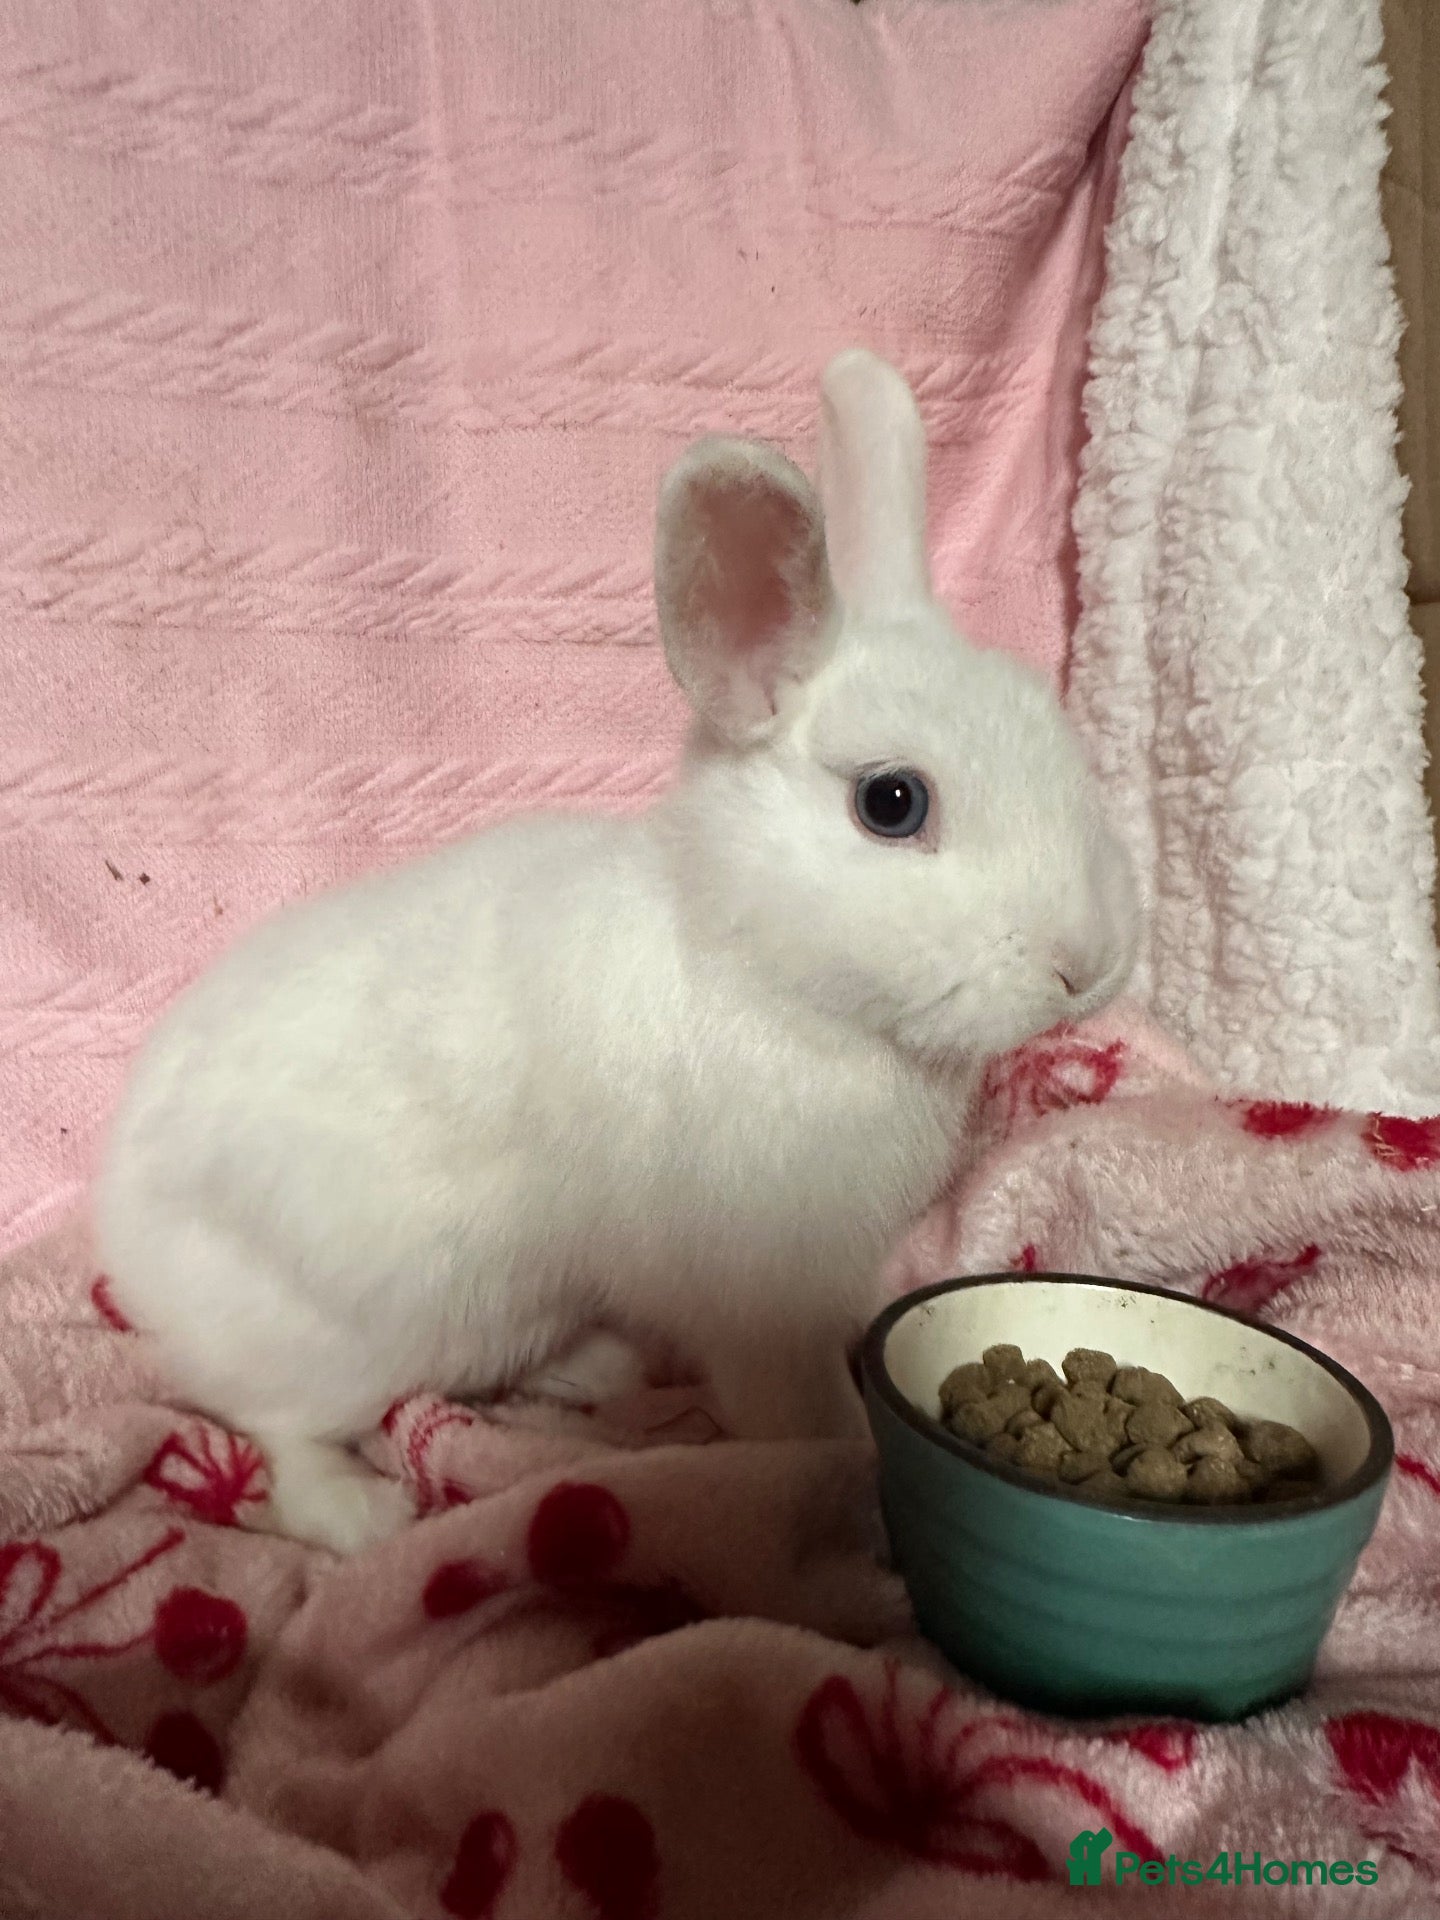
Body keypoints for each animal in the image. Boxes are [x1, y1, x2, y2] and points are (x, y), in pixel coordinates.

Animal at [93, 350, 1139, 1555]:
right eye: (892, 803)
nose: (1088, 962)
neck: (755, 970)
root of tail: (125, 1234)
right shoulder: (760, 1298)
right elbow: (799, 1407)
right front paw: (850, 1484)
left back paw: (599, 1370)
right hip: (353, 1326)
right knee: (277, 1426)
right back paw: (367, 1513)